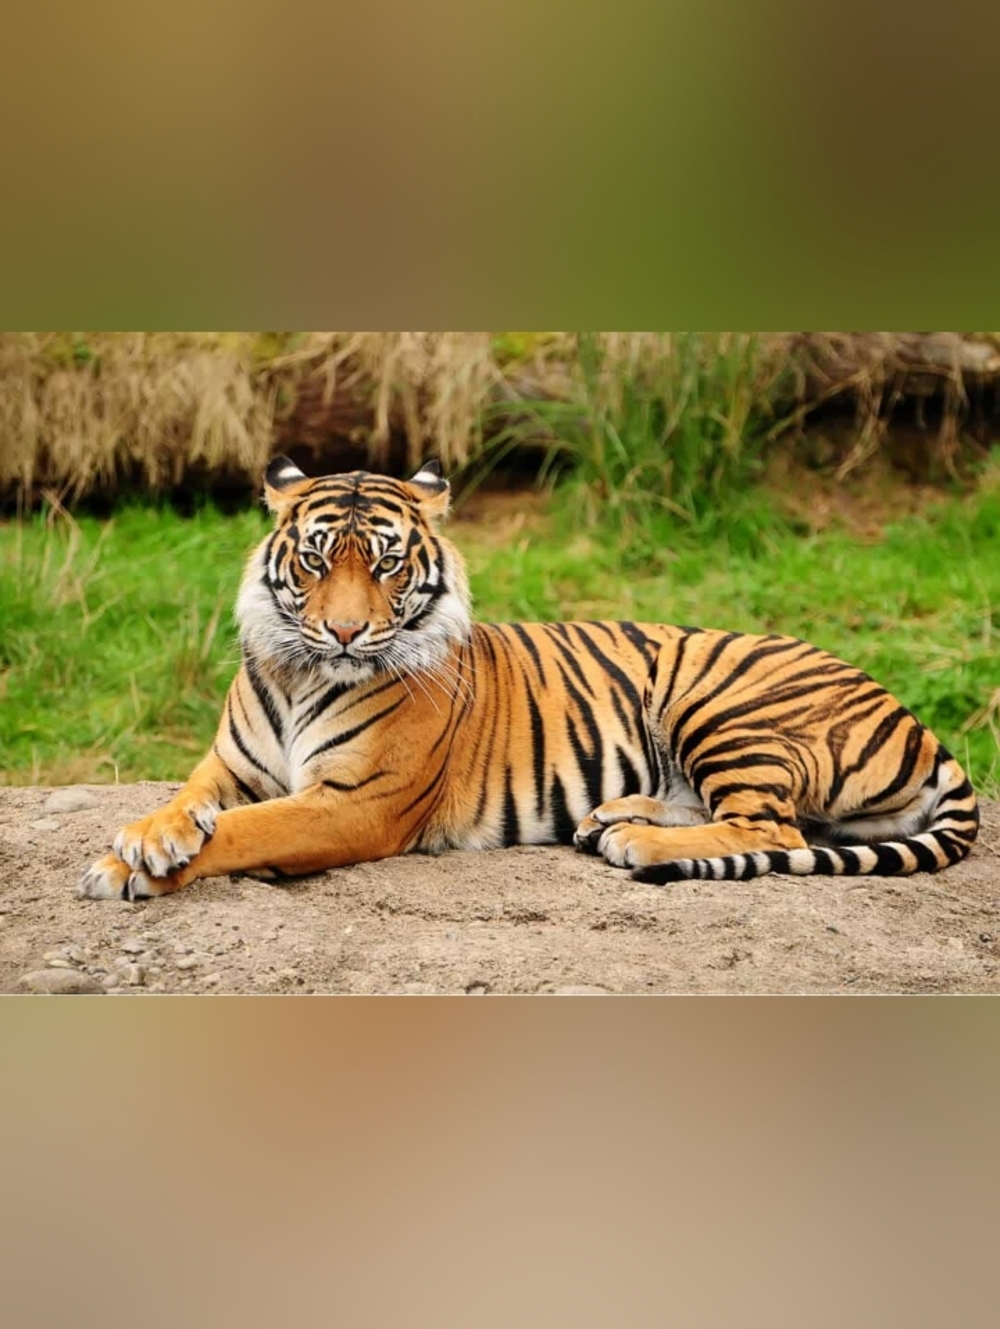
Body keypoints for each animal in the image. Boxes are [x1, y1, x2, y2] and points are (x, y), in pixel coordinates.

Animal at [80, 456, 979, 901]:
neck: (303, 673)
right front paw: (144, 840)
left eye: (387, 563)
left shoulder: (356, 802)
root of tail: (914, 716)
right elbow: (190, 803)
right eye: (315, 559)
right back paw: (611, 816)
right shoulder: (228, 765)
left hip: (719, 701)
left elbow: (247, 830)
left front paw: (133, 868)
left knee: (775, 829)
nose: (344, 630)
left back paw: (636, 840)